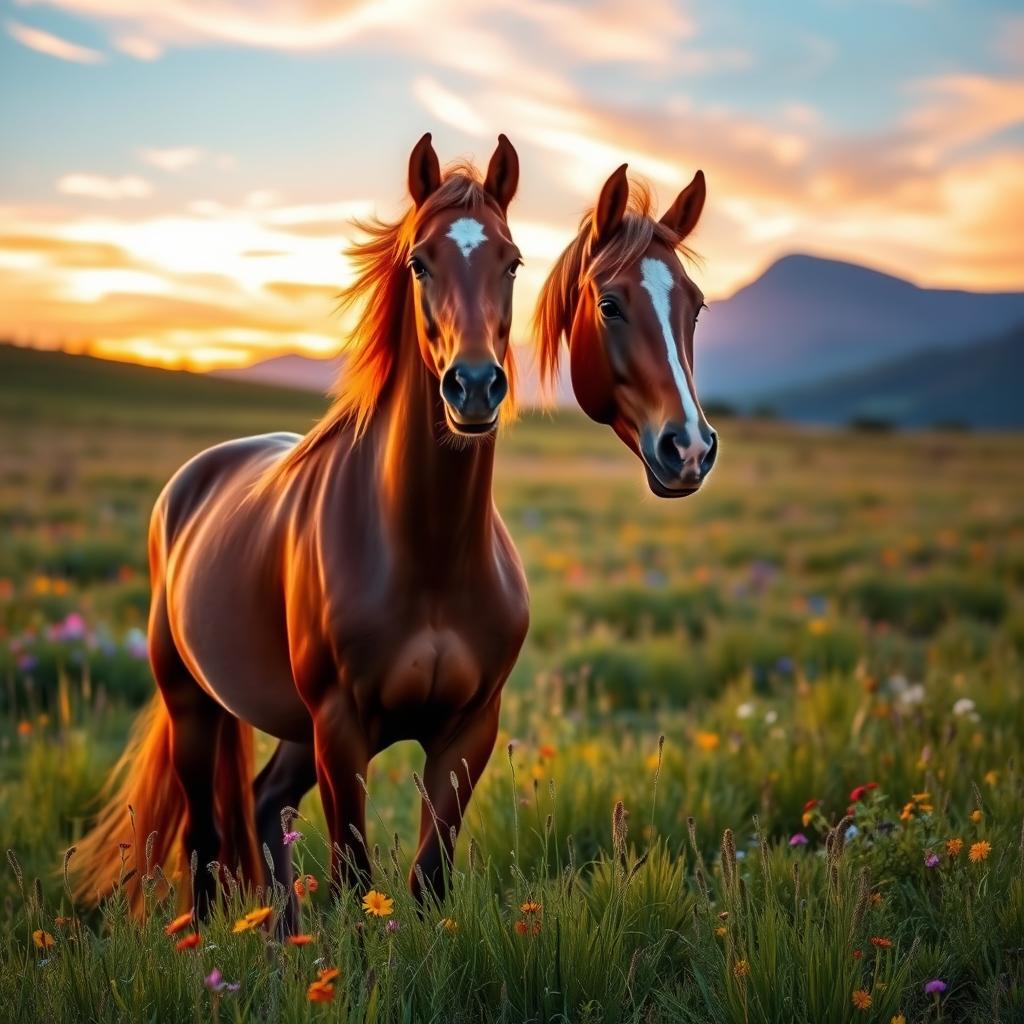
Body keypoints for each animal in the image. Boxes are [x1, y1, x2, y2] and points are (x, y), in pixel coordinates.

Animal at [73, 133, 529, 918]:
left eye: (513, 261)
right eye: (420, 262)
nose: (474, 387)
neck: (430, 554)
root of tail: (190, 482)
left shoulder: (468, 730)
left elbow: (426, 879)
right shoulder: (340, 729)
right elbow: (354, 877)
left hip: (291, 726)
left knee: (260, 806)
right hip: (192, 703)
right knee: (203, 840)